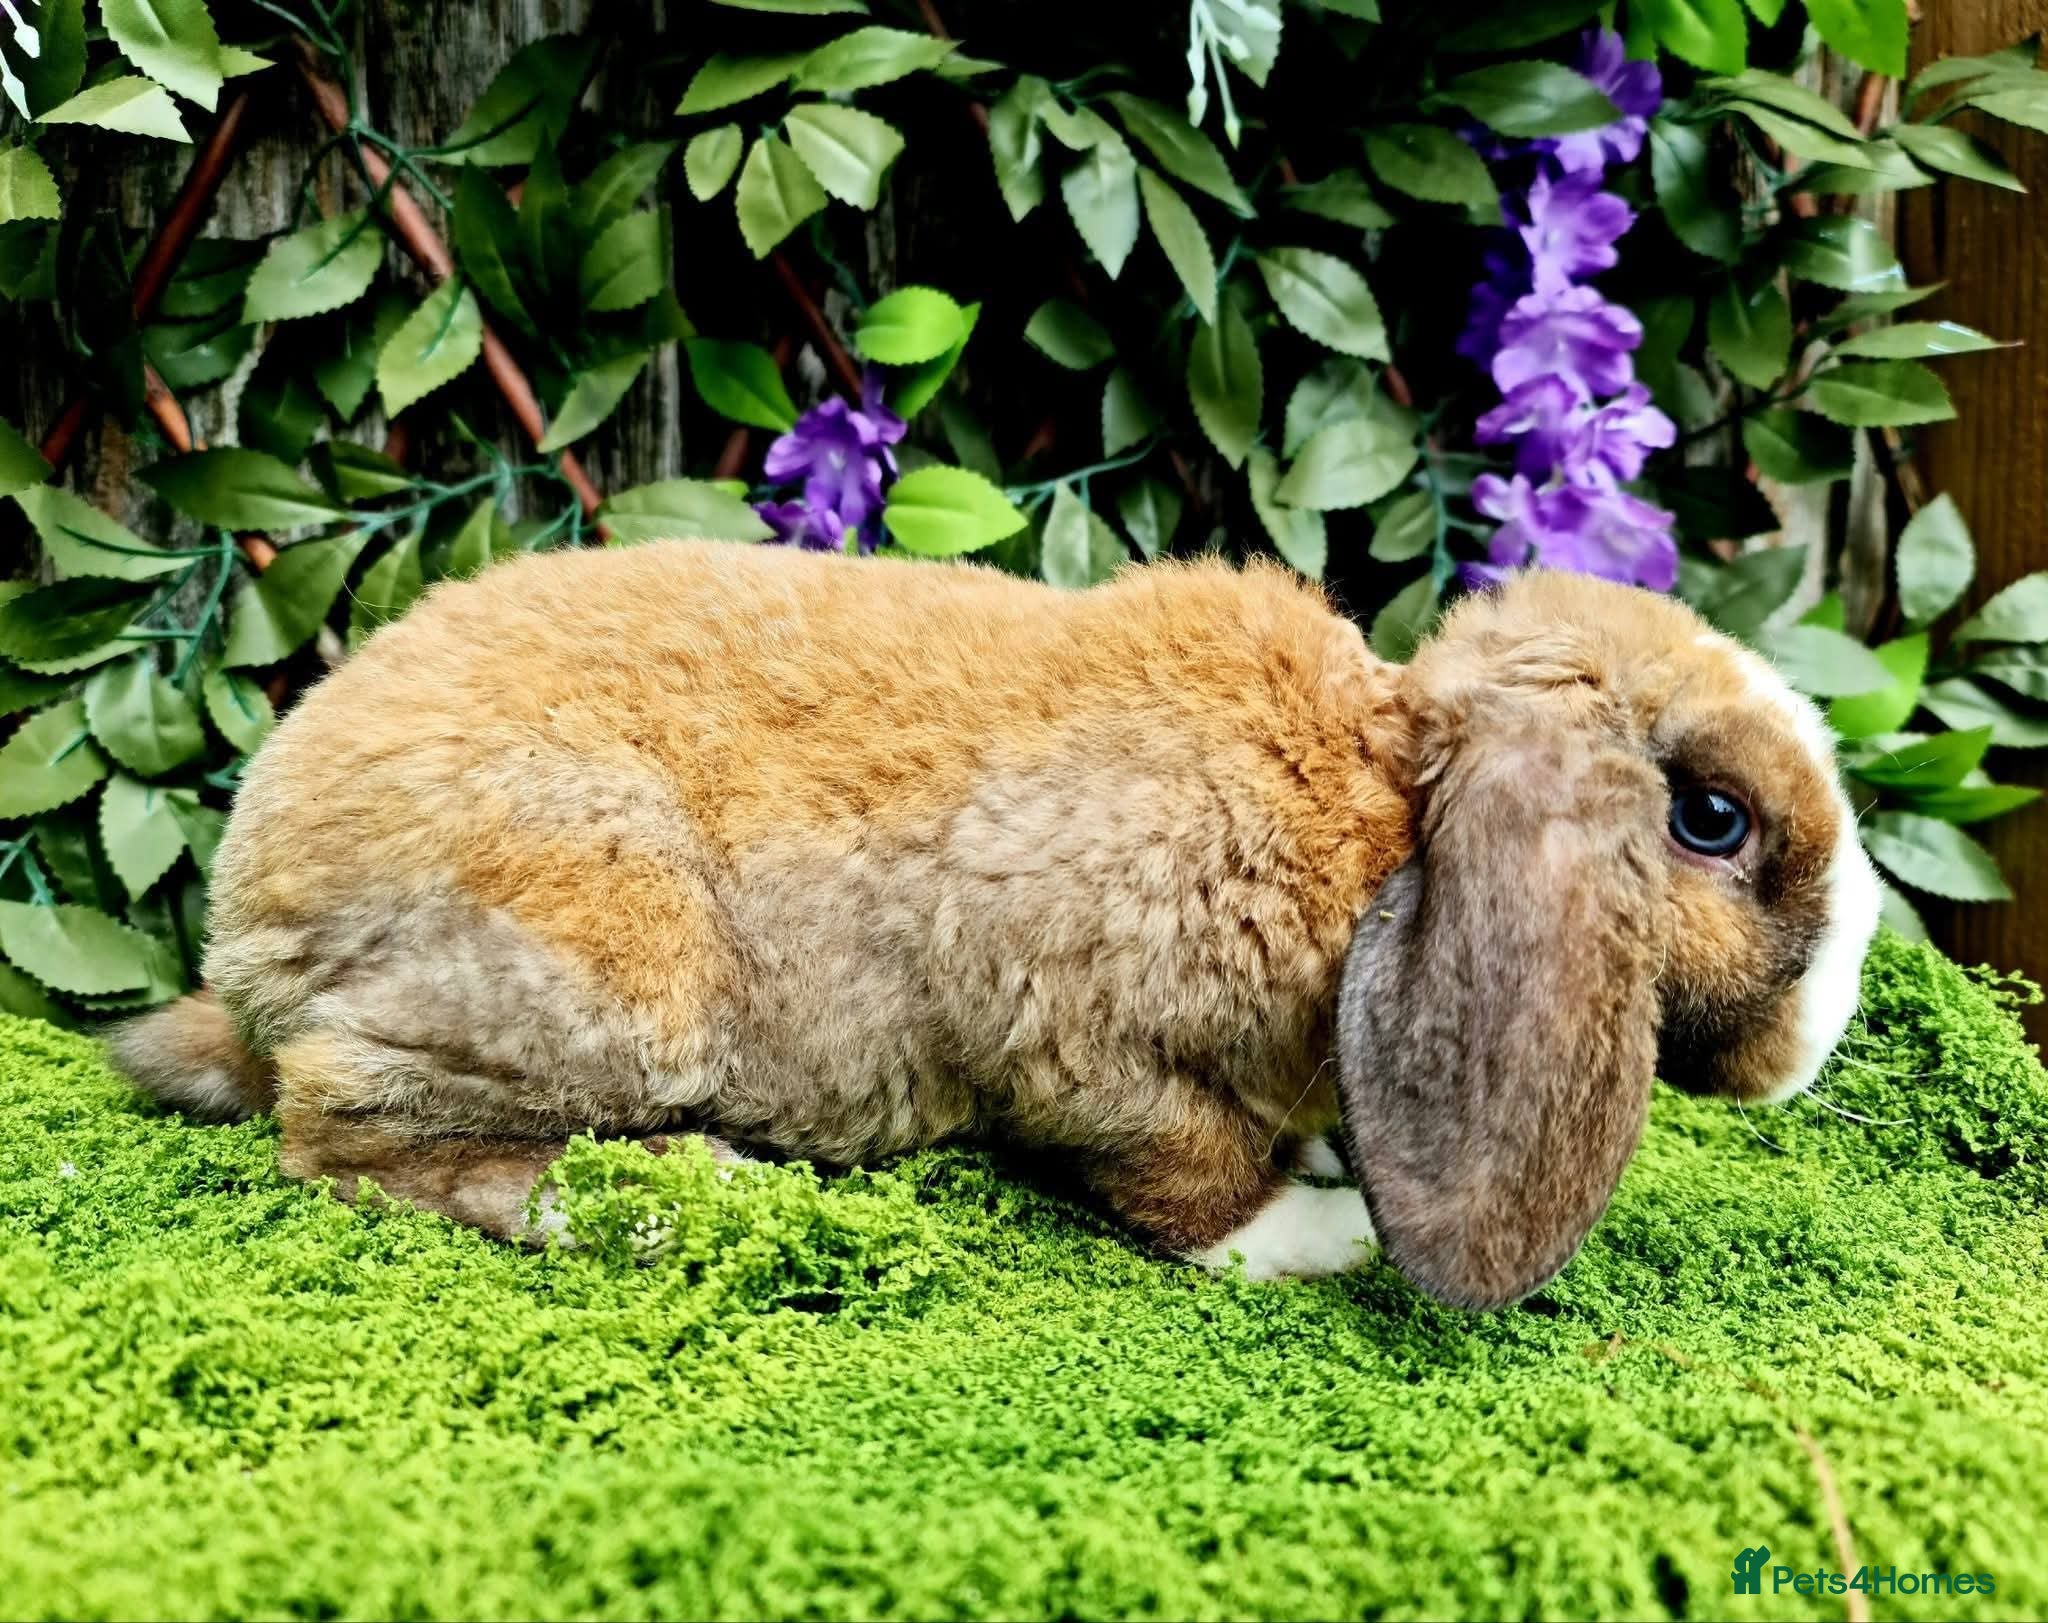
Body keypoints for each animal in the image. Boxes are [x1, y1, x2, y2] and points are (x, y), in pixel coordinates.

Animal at [111, 541, 1880, 1307]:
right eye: (1712, 819)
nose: (1847, 997)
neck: (1376, 810)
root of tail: (250, 921)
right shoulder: (1074, 1033)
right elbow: (1182, 1167)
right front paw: (1317, 1233)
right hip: (607, 972)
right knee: (343, 1123)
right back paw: (666, 1193)